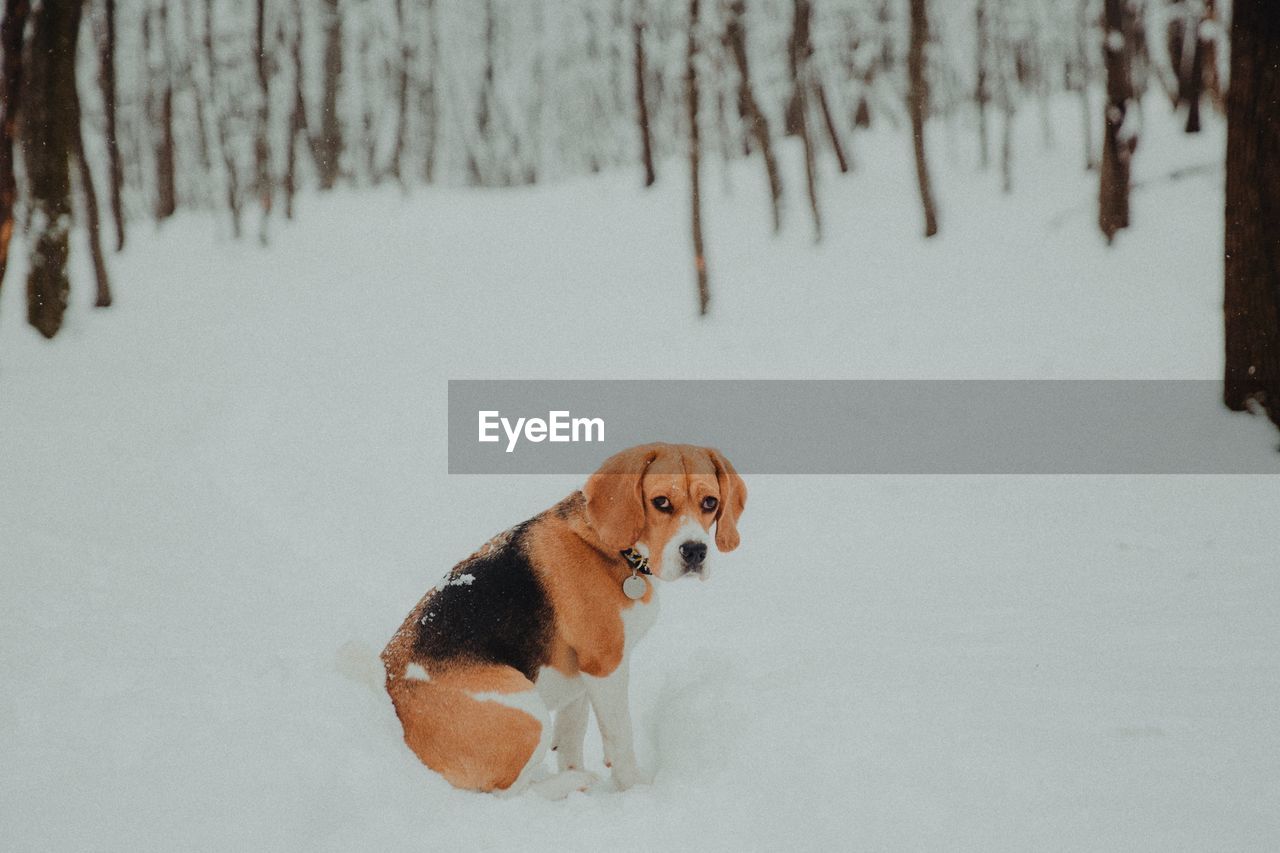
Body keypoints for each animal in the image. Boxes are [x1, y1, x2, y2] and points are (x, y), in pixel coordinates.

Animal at [378, 440, 747, 794]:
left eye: (710, 502)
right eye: (661, 502)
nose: (695, 551)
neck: (612, 548)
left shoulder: (580, 673)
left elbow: (572, 735)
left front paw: (578, 771)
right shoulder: (605, 664)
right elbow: (620, 735)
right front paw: (633, 788)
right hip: (528, 710)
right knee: (509, 794)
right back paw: (573, 783)